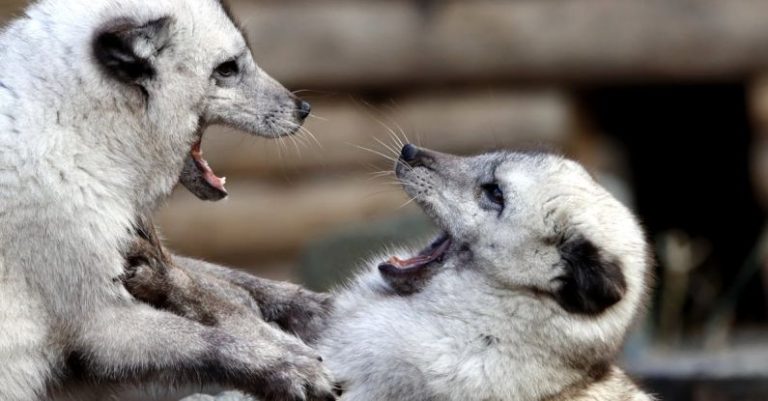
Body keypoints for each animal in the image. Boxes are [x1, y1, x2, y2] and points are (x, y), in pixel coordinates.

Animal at [1, 0, 334, 400]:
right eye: (227, 69)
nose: (305, 108)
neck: (73, 128)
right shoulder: (98, 324)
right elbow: (208, 340)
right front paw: (289, 367)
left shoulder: (125, 245)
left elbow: (225, 276)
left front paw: (309, 307)